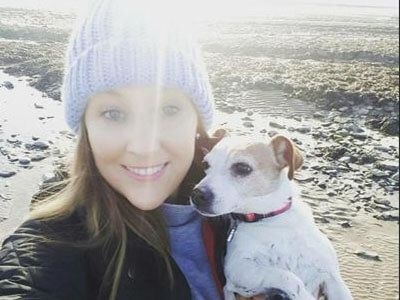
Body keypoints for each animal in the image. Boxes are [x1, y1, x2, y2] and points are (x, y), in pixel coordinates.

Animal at [192, 135, 352, 298]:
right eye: (205, 164)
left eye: (242, 168)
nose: (197, 195)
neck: (272, 219)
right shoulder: (238, 267)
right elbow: (290, 278)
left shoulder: (332, 277)